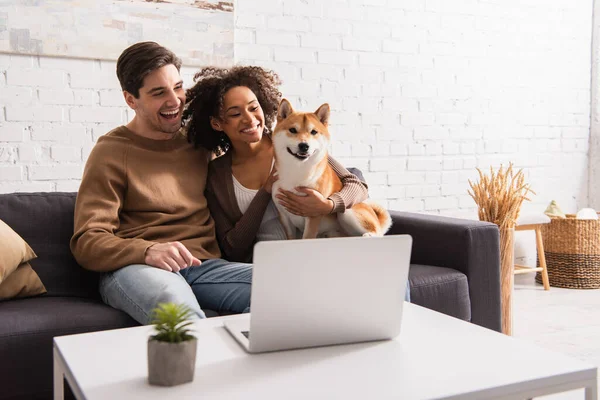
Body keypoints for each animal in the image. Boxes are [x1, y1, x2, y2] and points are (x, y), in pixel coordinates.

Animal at [270, 99, 392, 239]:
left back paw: (369, 235)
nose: (304, 146)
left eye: (313, 132)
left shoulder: (313, 214)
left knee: (378, 233)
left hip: (347, 211)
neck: (297, 171)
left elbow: (307, 237)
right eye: (292, 130)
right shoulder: (285, 217)